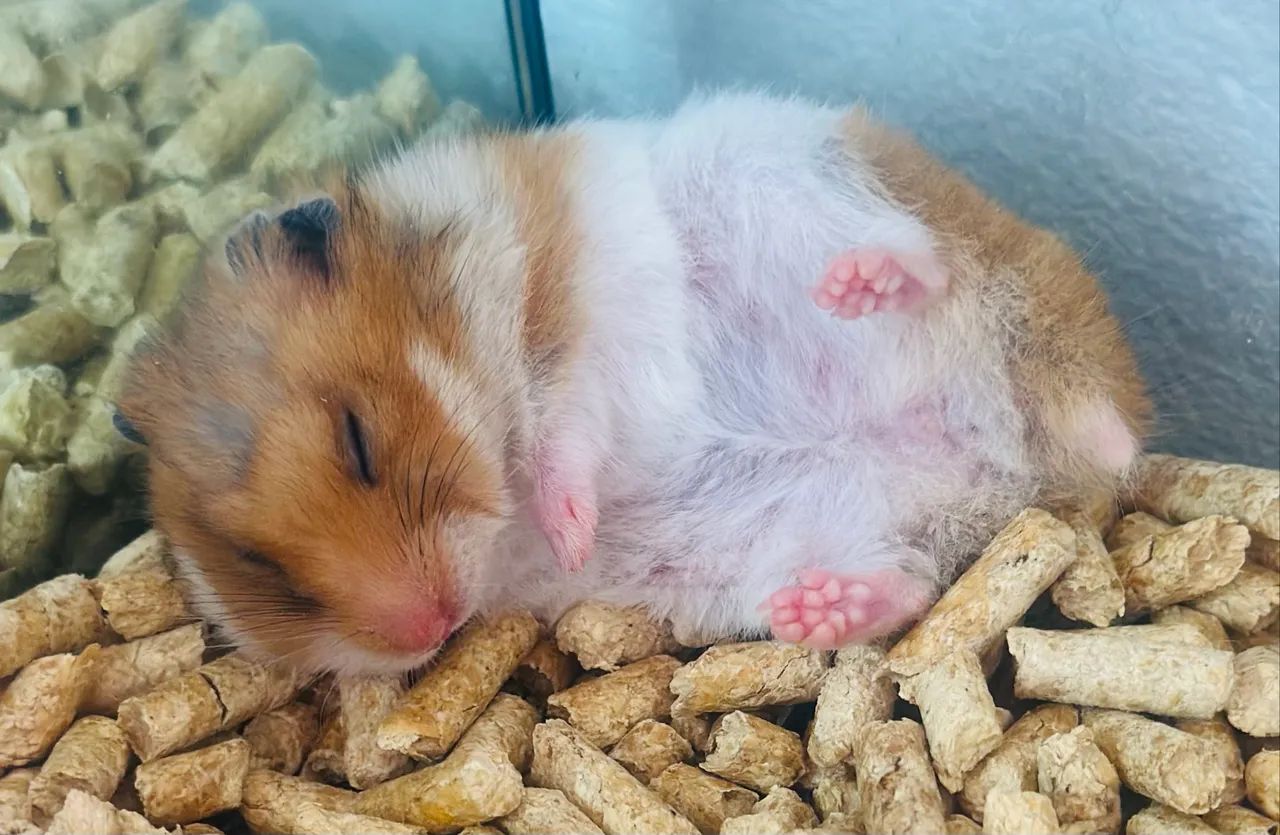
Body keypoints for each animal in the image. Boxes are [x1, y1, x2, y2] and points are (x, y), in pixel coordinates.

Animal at [119, 92, 1150, 676]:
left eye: (359, 439)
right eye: (261, 569)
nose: (428, 624)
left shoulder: (577, 315)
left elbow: (567, 430)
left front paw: (571, 529)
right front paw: (570, 544)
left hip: (791, 170)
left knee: (928, 263)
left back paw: (867, 280)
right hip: (805, 542)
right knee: (910, 587)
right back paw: (821, 612)